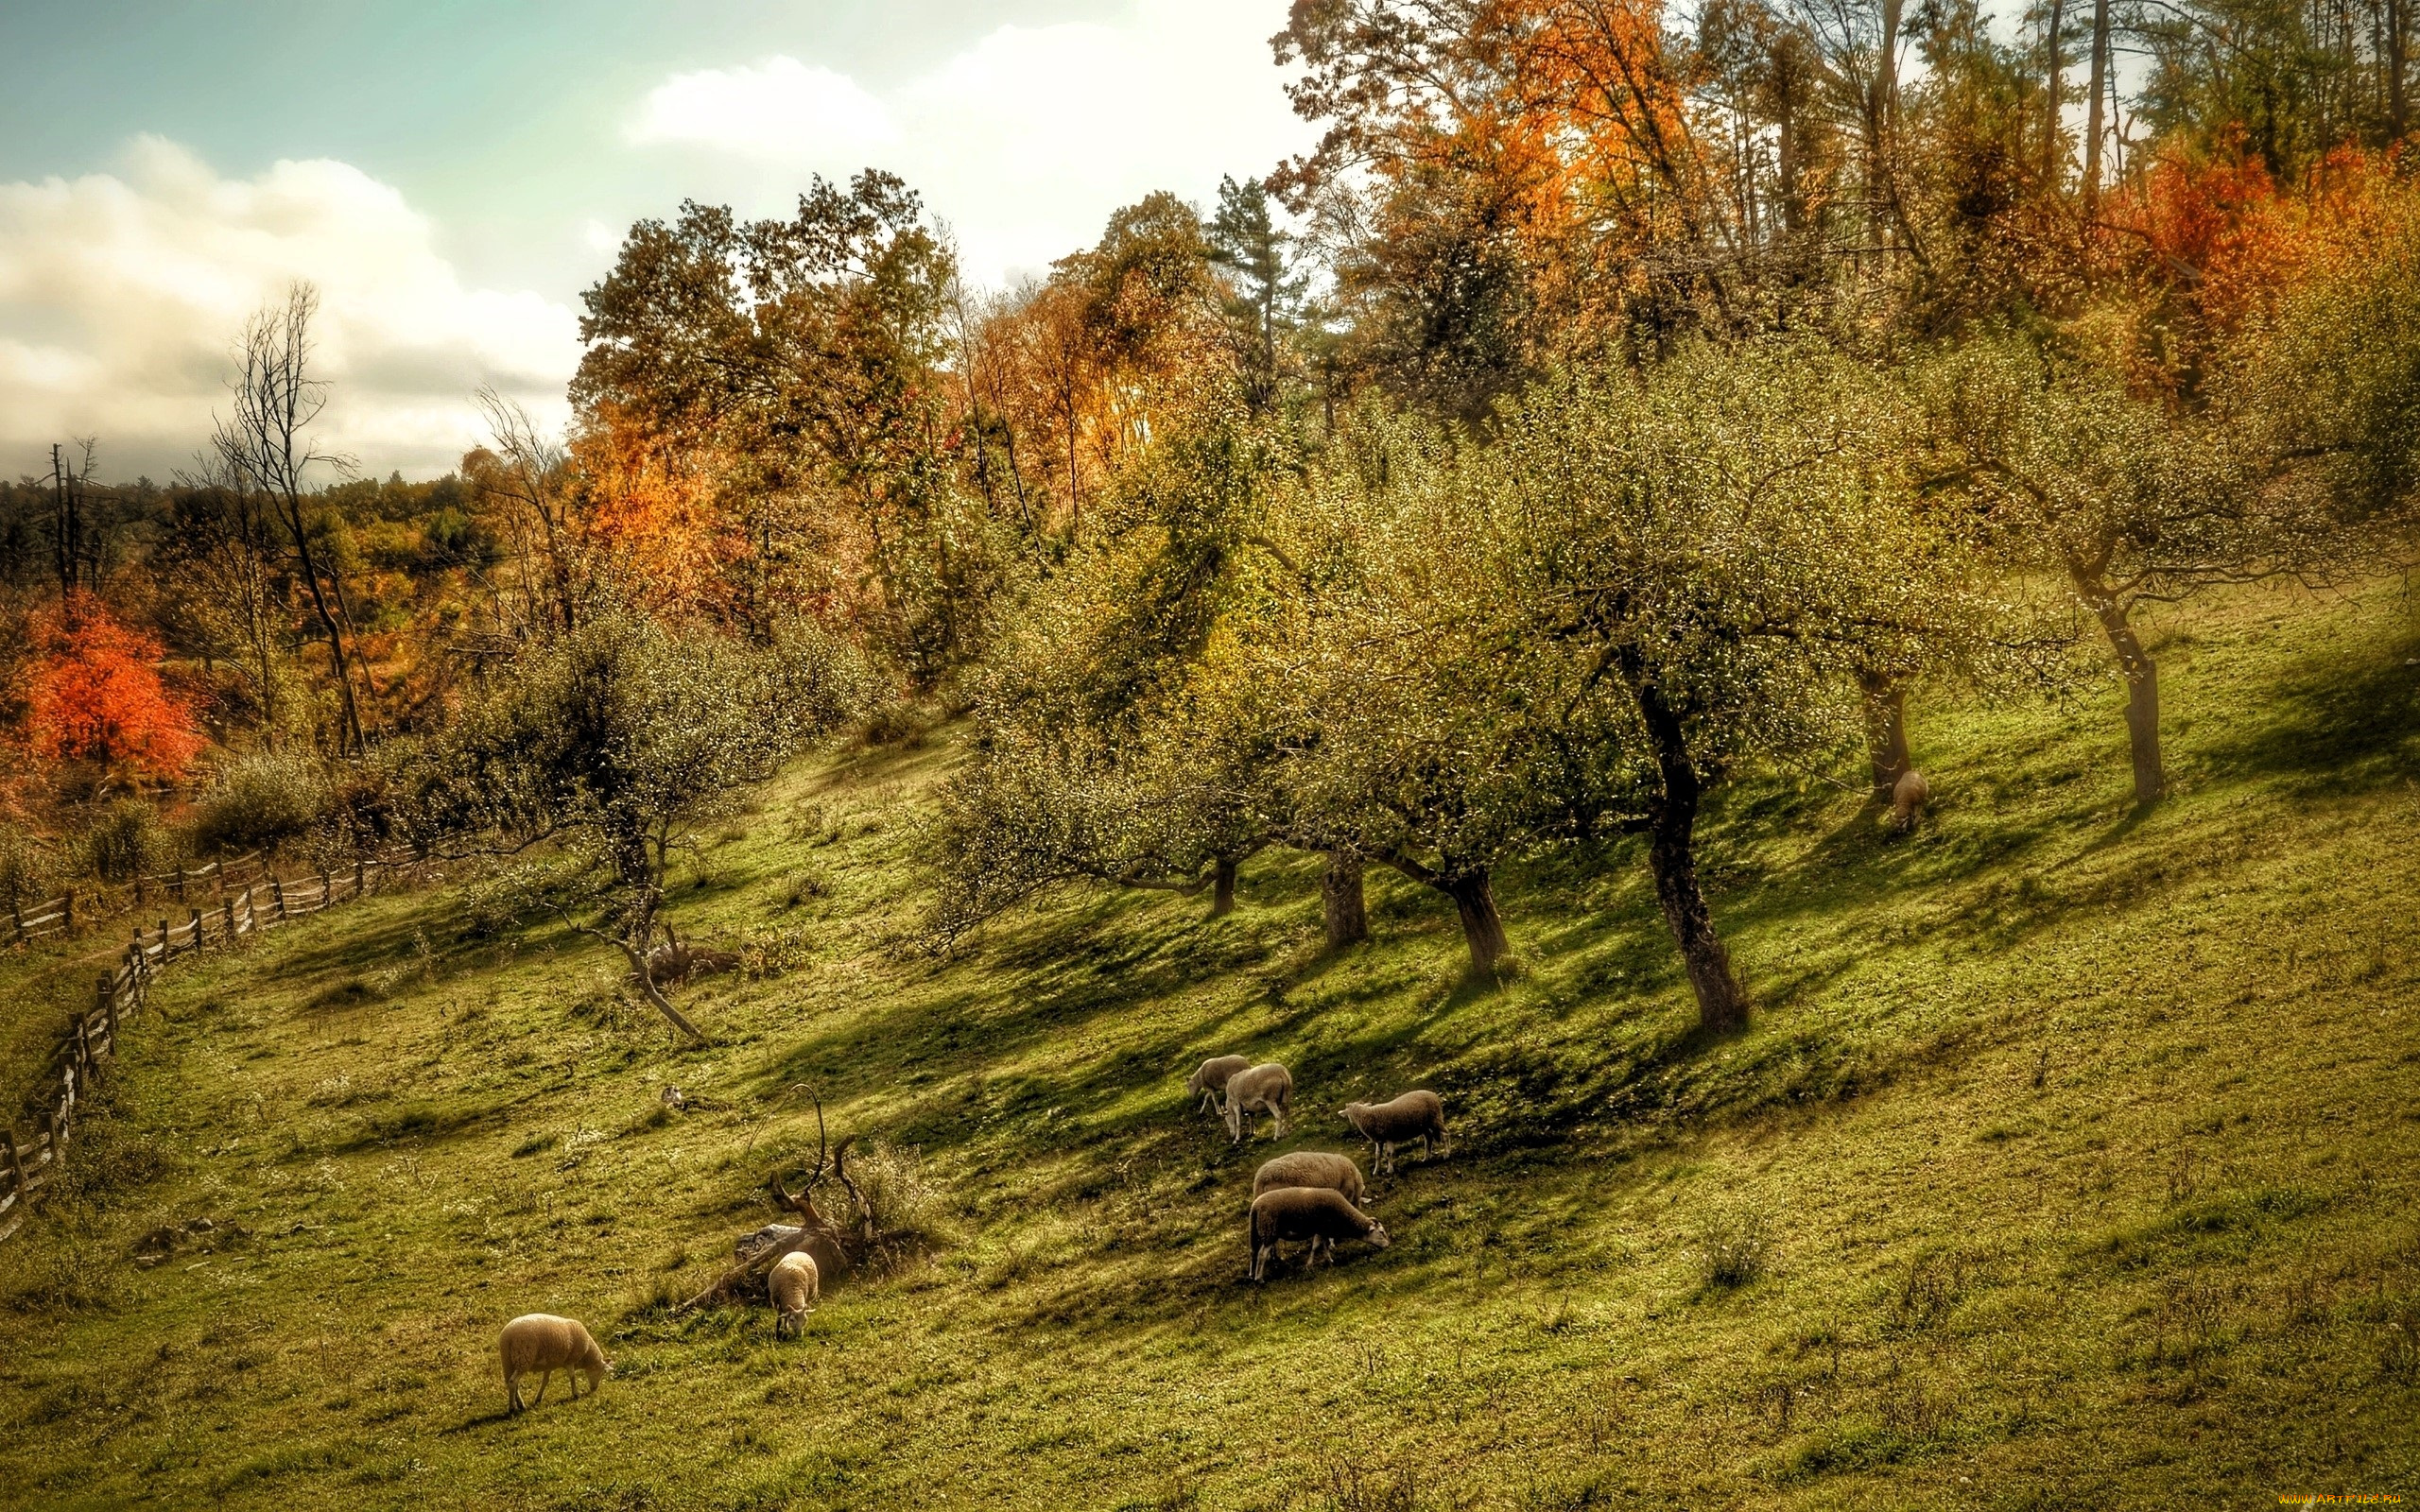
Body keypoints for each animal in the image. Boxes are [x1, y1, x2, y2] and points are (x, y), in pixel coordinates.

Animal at [1238, 1185, 1393, 1277]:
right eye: (1381, 1232)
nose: (1388, 1246)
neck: (1344, 1217)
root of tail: (1255, 1205)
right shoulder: (1321, 1227)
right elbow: (1316, 1246)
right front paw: (1310, 1265)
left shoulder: (1324, 1229)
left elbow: (1324, 1245)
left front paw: (1329, 1260)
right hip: (1269, 1230)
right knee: (1262, 1254)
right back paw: (1259, 1279)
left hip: (1258, 1230)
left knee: (1253, 1252)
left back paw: (1252, 1274)